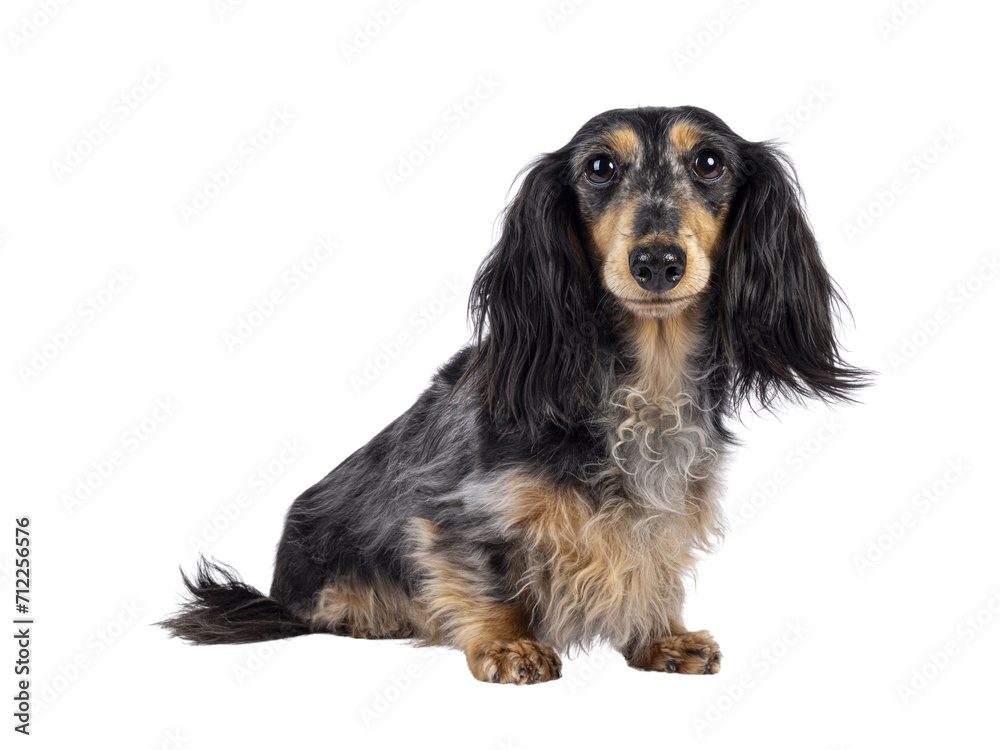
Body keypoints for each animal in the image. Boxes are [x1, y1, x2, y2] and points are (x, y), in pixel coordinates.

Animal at [158, 107, 868, 688]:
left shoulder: (665, 510)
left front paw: (661, 636)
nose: (657, 263)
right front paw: (509, 645)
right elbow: (484, 577)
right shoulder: (456, 508)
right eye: (599, 167)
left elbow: (651, 564)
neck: (643, 383)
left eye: (710, 162)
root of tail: (276, 589)